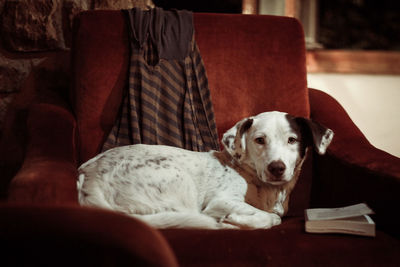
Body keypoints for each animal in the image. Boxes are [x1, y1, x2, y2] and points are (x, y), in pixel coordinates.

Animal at [76, 111, 332, 230]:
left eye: (292, 140)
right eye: (260, 140)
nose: (277, 168)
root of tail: (89, 176)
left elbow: (273, 215)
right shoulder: (221, 201)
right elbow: (271, 218)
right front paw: (236, 220)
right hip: (179, 179)